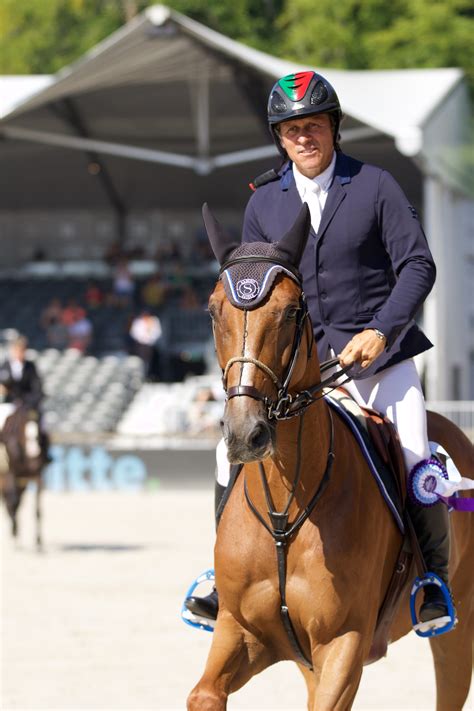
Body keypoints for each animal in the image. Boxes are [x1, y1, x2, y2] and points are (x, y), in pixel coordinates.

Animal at [188, 206, 474, 711]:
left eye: (291, 311)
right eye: (213, 310)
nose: (246, 433)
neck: (286, 511)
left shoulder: (343, 645)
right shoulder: (240, 631)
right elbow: (203, 694)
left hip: (458, 627)